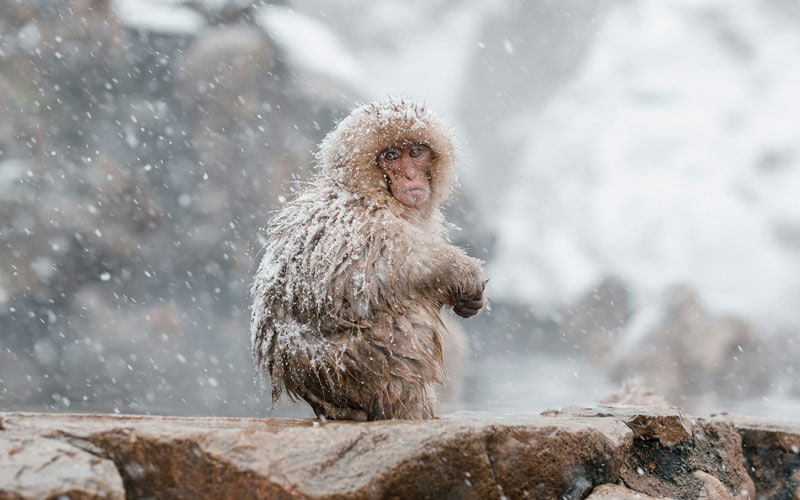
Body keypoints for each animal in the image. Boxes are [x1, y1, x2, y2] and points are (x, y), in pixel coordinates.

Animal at [250, 97, 486, 421]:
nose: (410, 175)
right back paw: (407, 409)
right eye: (391, 156)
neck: (370, 191)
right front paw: (461, 270)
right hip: (355, 366)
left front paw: (464, 299)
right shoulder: (359, 222)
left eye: (415, 153)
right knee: (403, 316)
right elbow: (375, 268)